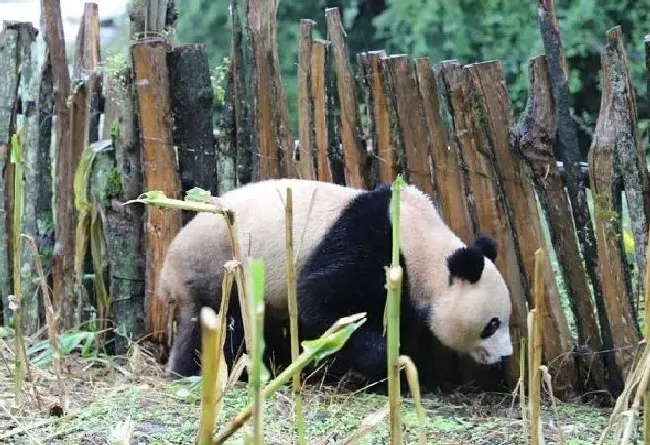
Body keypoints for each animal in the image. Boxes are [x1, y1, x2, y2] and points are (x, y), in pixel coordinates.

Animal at [158, 177, 512, 386]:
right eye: (492, 324)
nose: (506, 356)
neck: (421, 242)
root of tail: (165, 271)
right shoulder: (367, 245)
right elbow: (319, 301)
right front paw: (387, 362)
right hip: (218, 267)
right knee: (218, 323)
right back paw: (196, 372)